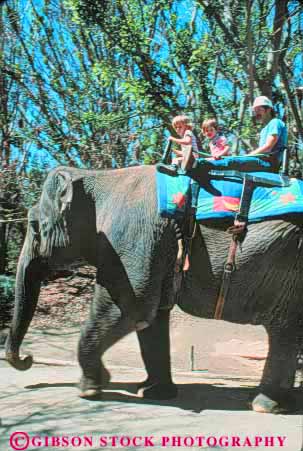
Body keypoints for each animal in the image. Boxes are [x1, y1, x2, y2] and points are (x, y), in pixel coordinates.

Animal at [4, 165, 303, 414]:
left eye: (34, 226)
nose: (28, 359)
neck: (97, 176)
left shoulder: (132, 240)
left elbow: (130, 309)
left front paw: (91, 389)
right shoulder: (150, 247)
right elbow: (151, 319)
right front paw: (151, 393)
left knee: (283, 333)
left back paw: (264, 405)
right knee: (286, 333)